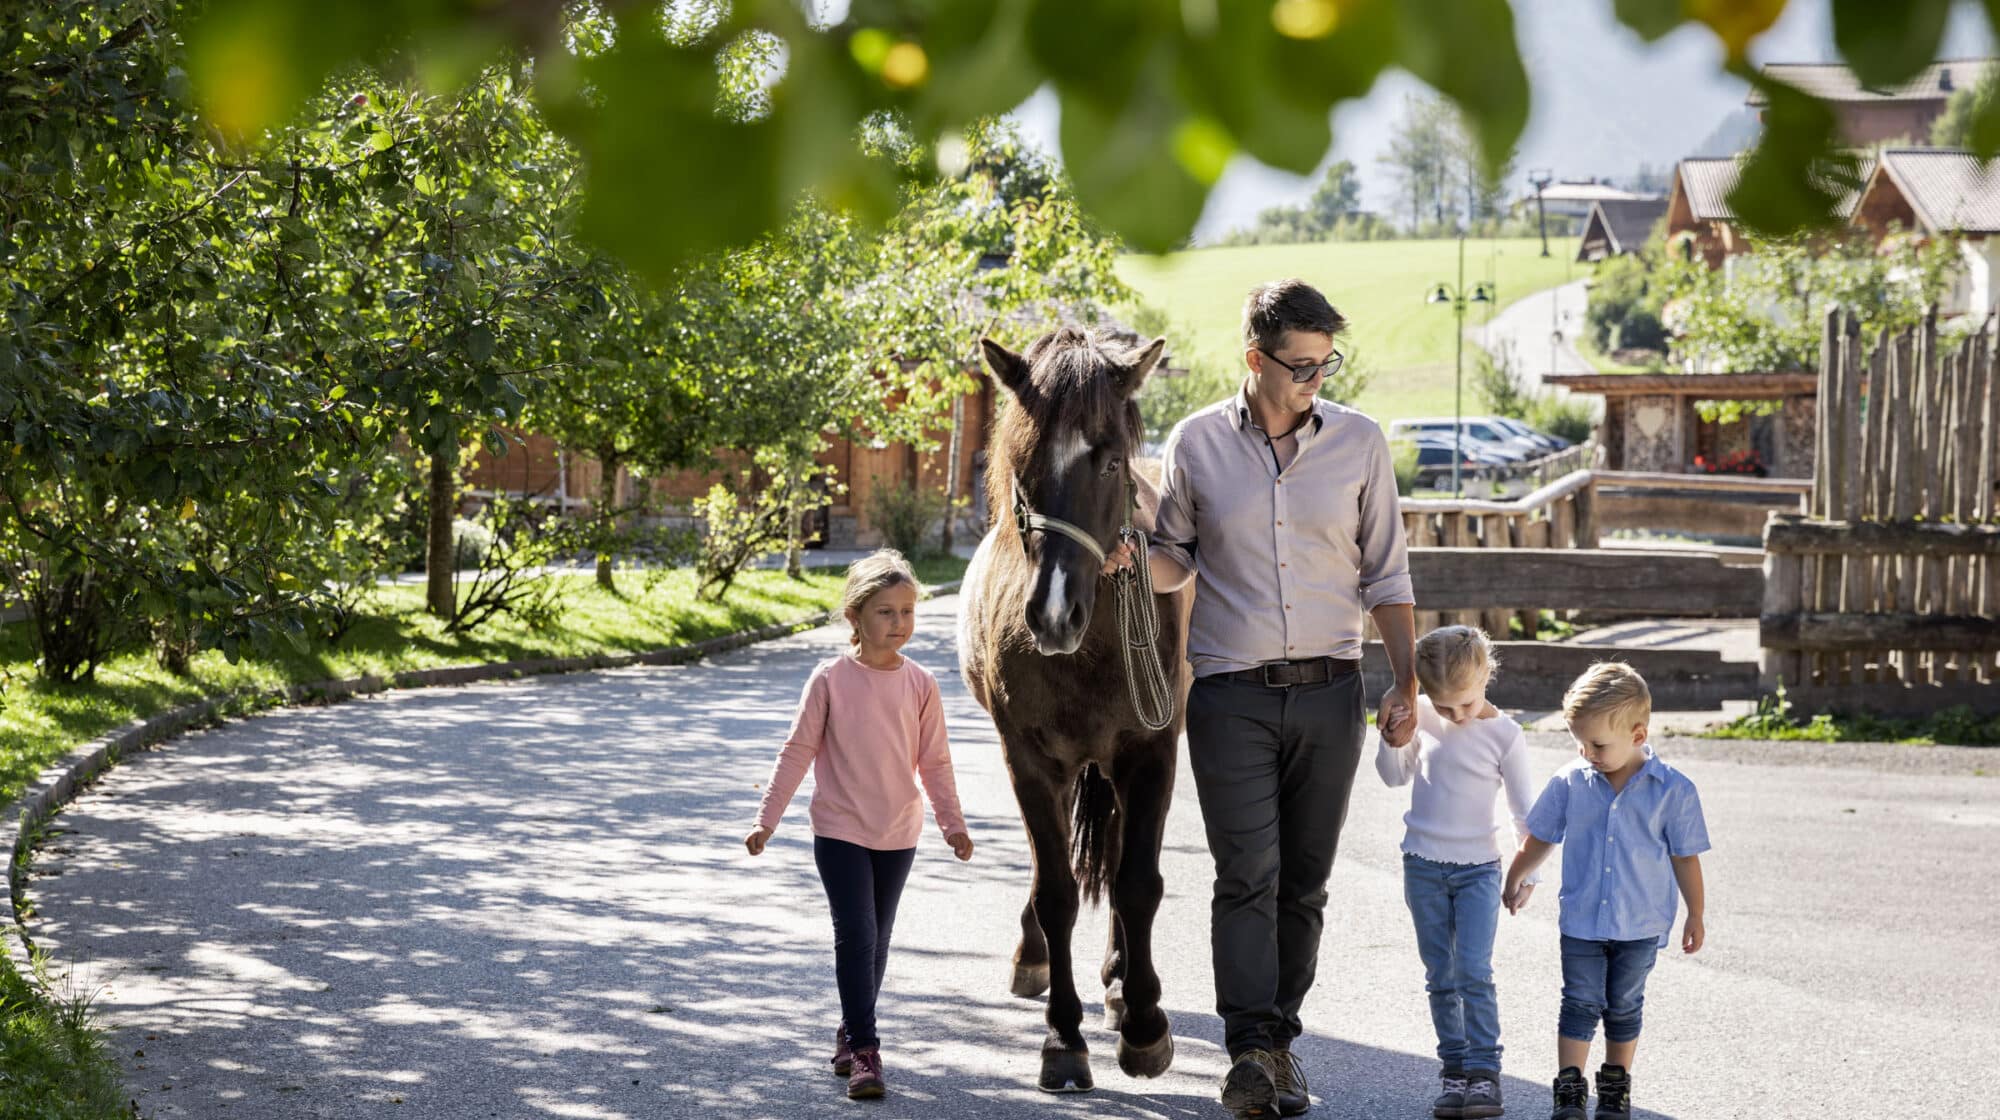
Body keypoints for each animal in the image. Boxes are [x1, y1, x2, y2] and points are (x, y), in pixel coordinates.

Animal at [956, 326, 1184, 1096]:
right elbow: (1055, 890)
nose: (1054, 614)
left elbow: (1138, 882)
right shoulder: (1029, 759)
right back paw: (1038, 959)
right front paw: (1063, 1038)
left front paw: (1143, 1022)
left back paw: (1118, 982)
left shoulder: (1150, 752)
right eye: (1021, 465)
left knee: (1115, 856)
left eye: (1110, 460)